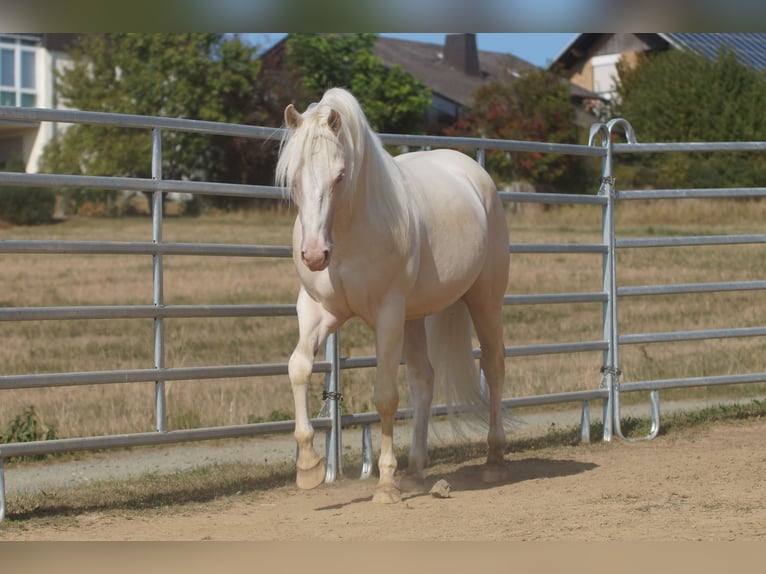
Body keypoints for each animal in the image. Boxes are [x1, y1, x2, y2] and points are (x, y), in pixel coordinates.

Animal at [276, 86, 510, 504]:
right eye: (295, 176)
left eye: (340, 175)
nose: (315, 255)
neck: (349, 231)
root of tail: (473, 173)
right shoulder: (319, 311)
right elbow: (298, 367)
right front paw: (308, 467)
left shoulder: (386, 314)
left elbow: (385, 395)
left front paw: (385, 484)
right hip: (414, 318)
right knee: (423, 380)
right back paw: (415, 472)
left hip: (484, 300)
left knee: (494, 366)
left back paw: (494, 460)